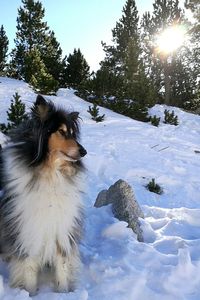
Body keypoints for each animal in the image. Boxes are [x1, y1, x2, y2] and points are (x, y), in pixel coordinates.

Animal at [0, 95, 86, 294]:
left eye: (73, 133)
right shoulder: (30, 230)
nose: (84, 152)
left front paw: (63, 293)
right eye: (62, 131)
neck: (51, 173)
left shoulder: (61, 228)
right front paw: (30, 293)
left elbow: (62, 267)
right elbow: (29, 269)